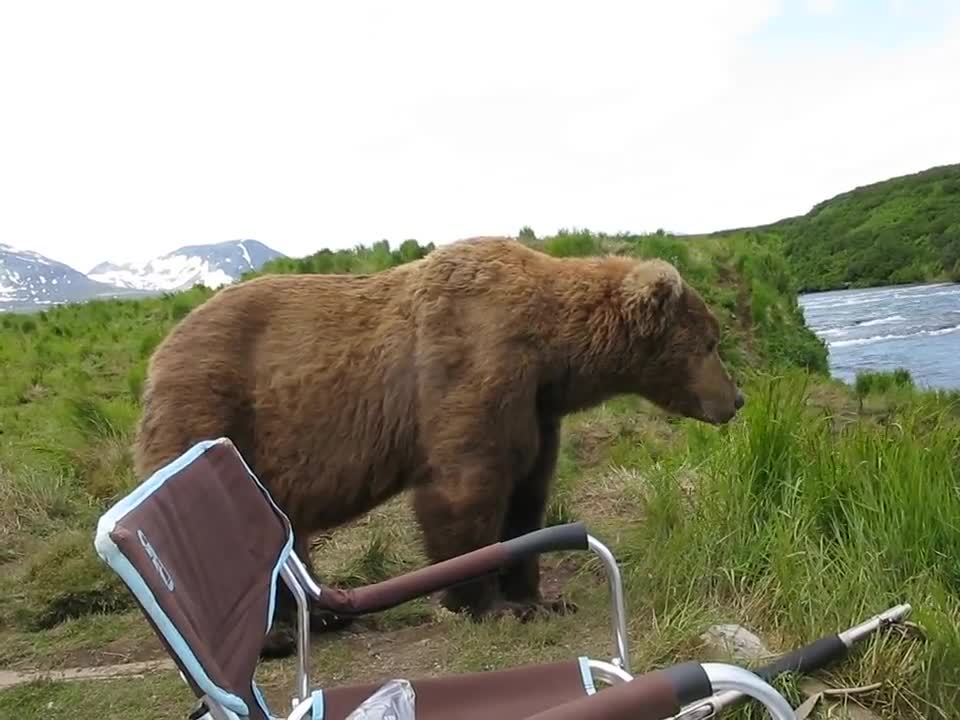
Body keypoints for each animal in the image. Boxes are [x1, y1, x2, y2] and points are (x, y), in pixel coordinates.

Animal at [129, 235, 744, 660]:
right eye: (710, 342)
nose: (735, 399)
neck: (552, 351)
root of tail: (158, 354)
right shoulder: (471, 368)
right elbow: (465, 491)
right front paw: (488, 605)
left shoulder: (537, 411)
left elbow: (528, 497)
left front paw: (540, 598)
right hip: (214, 414)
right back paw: (274, 636)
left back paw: (323, 615)